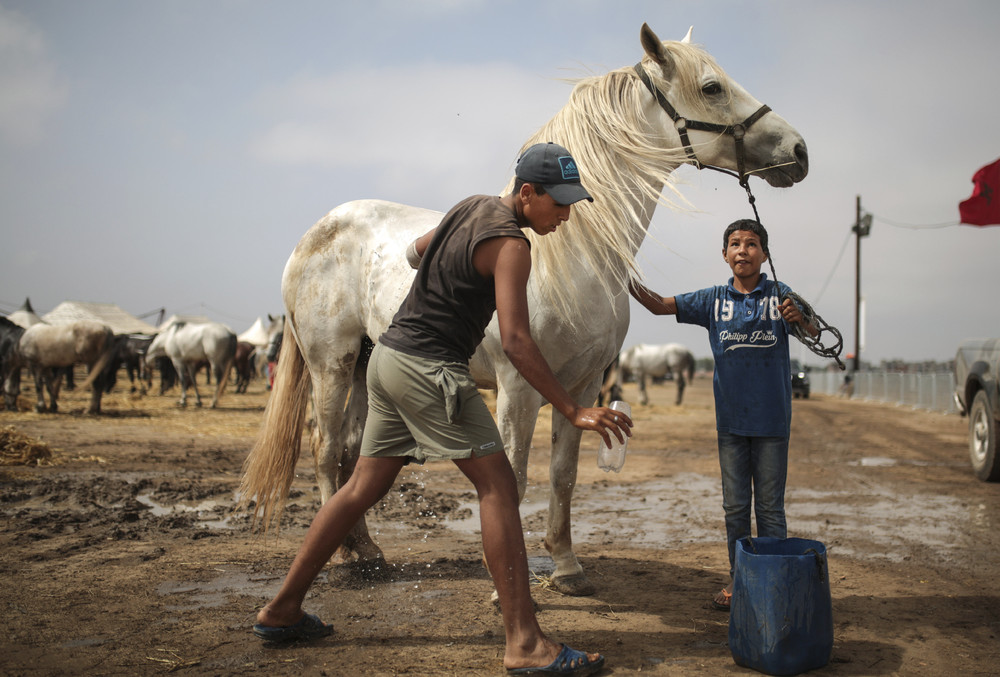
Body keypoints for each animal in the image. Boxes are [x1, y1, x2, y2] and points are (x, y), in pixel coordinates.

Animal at [242, 22, 812, 592]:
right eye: (712, 88)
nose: (800, 150)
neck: (576, 255)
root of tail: (314, 234)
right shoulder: (516, 389)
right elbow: (513, 478)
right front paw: (507, 582)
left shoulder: (581, 386)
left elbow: (563, 474)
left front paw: (566, 565)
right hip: (331, 366)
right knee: (325, 449)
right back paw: (343, 558)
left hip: (365, 367)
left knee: (350, 453)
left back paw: (365, 551)